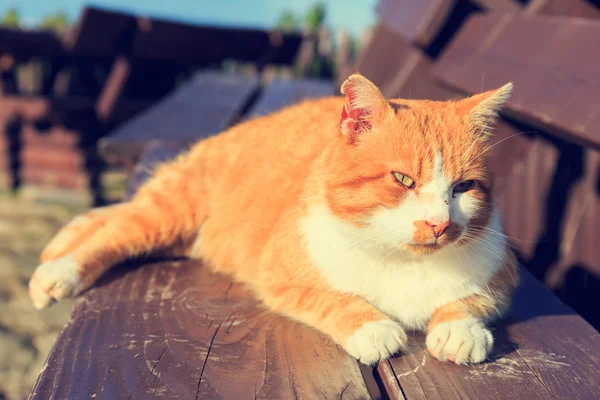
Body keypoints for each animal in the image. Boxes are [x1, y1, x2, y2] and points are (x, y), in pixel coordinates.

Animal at [29, 74, 516, 366]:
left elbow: (472, 299)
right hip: (170, 211)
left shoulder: (501, 274)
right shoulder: (277, 273)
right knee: (116, 229)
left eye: (464, 187)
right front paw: (373, 326)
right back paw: (59, 271)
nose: (439, 225)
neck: (402, 261)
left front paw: (458, 329)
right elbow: (333, 298)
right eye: (402, 179)